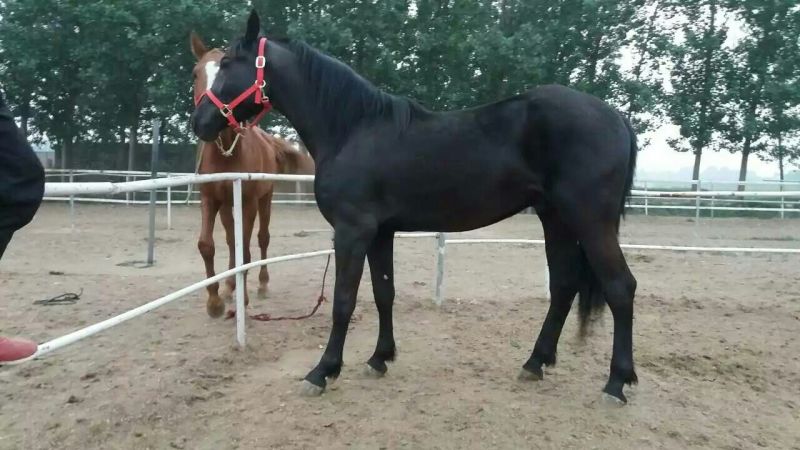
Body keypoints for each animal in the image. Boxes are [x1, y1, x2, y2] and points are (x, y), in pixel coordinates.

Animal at [190, 31, 314, 318]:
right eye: (195, 73)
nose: (202, 122)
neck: (226, 153)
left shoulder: (248, 202)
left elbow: (246, 251)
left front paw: (242, 301)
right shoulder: (210, 199)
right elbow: (207, 245)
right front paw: (215, 301)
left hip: (265, 200)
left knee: (261, 238)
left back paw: (261, 284)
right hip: (227, 206)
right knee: (230, 240)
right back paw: (228, 287)